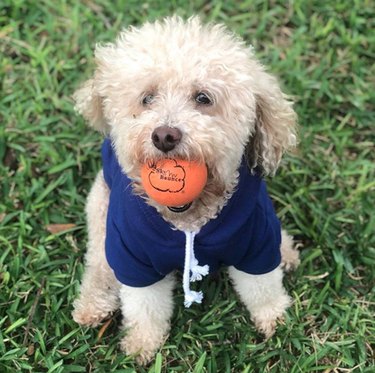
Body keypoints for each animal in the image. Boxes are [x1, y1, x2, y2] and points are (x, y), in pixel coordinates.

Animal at [72, 16, 302, 362]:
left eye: (203, 98)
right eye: (147, 98)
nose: (164, 136)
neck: (189, 219)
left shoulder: (258, 243)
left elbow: (262, 287)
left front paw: (276, 321)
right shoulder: (133, 258)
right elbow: (144, 306)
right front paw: (142, 344)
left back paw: (286, 250)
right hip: (101, 210)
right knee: (99, 261)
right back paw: (92, 305)